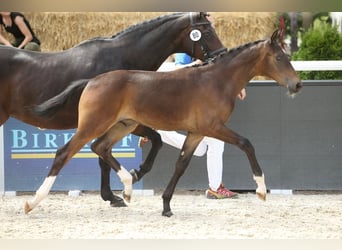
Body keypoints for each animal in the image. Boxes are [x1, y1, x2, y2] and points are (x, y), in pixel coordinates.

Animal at [0, 12, 227, 207]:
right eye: (207, 31)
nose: (222, 55)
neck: (120, 57)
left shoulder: (125, 121)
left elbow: (152, 141)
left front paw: (127, 181)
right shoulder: (115, 121)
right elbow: (107, 156)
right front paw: (118, 191)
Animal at [27, 30, 302, 216]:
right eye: (279, 58)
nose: (297, 84)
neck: (217, 81)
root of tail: (91, 81)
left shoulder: (196, 132)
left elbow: (181, 165)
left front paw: (166, 205)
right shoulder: (213, 127)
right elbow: (247, 143)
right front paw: (262, 190)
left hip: (123, 125)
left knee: (100, 147)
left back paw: (128, 187)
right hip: (92, 125)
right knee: (64, 153)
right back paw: (33, 201)